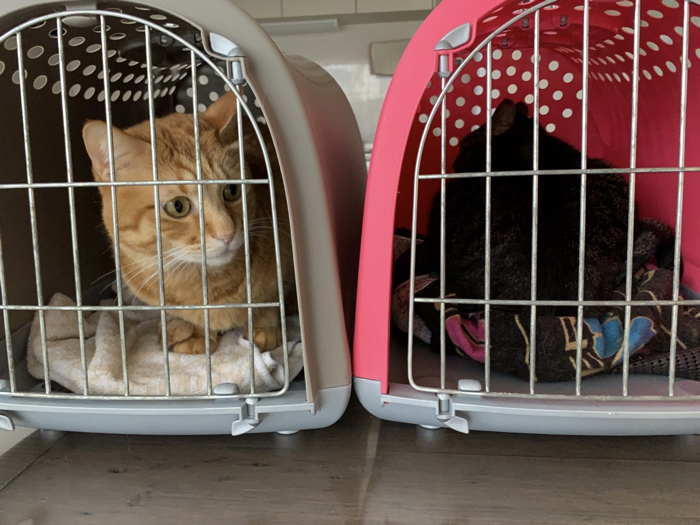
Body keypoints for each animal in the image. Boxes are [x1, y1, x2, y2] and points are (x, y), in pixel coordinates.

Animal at [83, 92, 295, 354]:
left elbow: (268, 301)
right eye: (178, 206)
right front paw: (194, 333)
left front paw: (264, 329)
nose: (227, 233)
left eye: (232, 190)